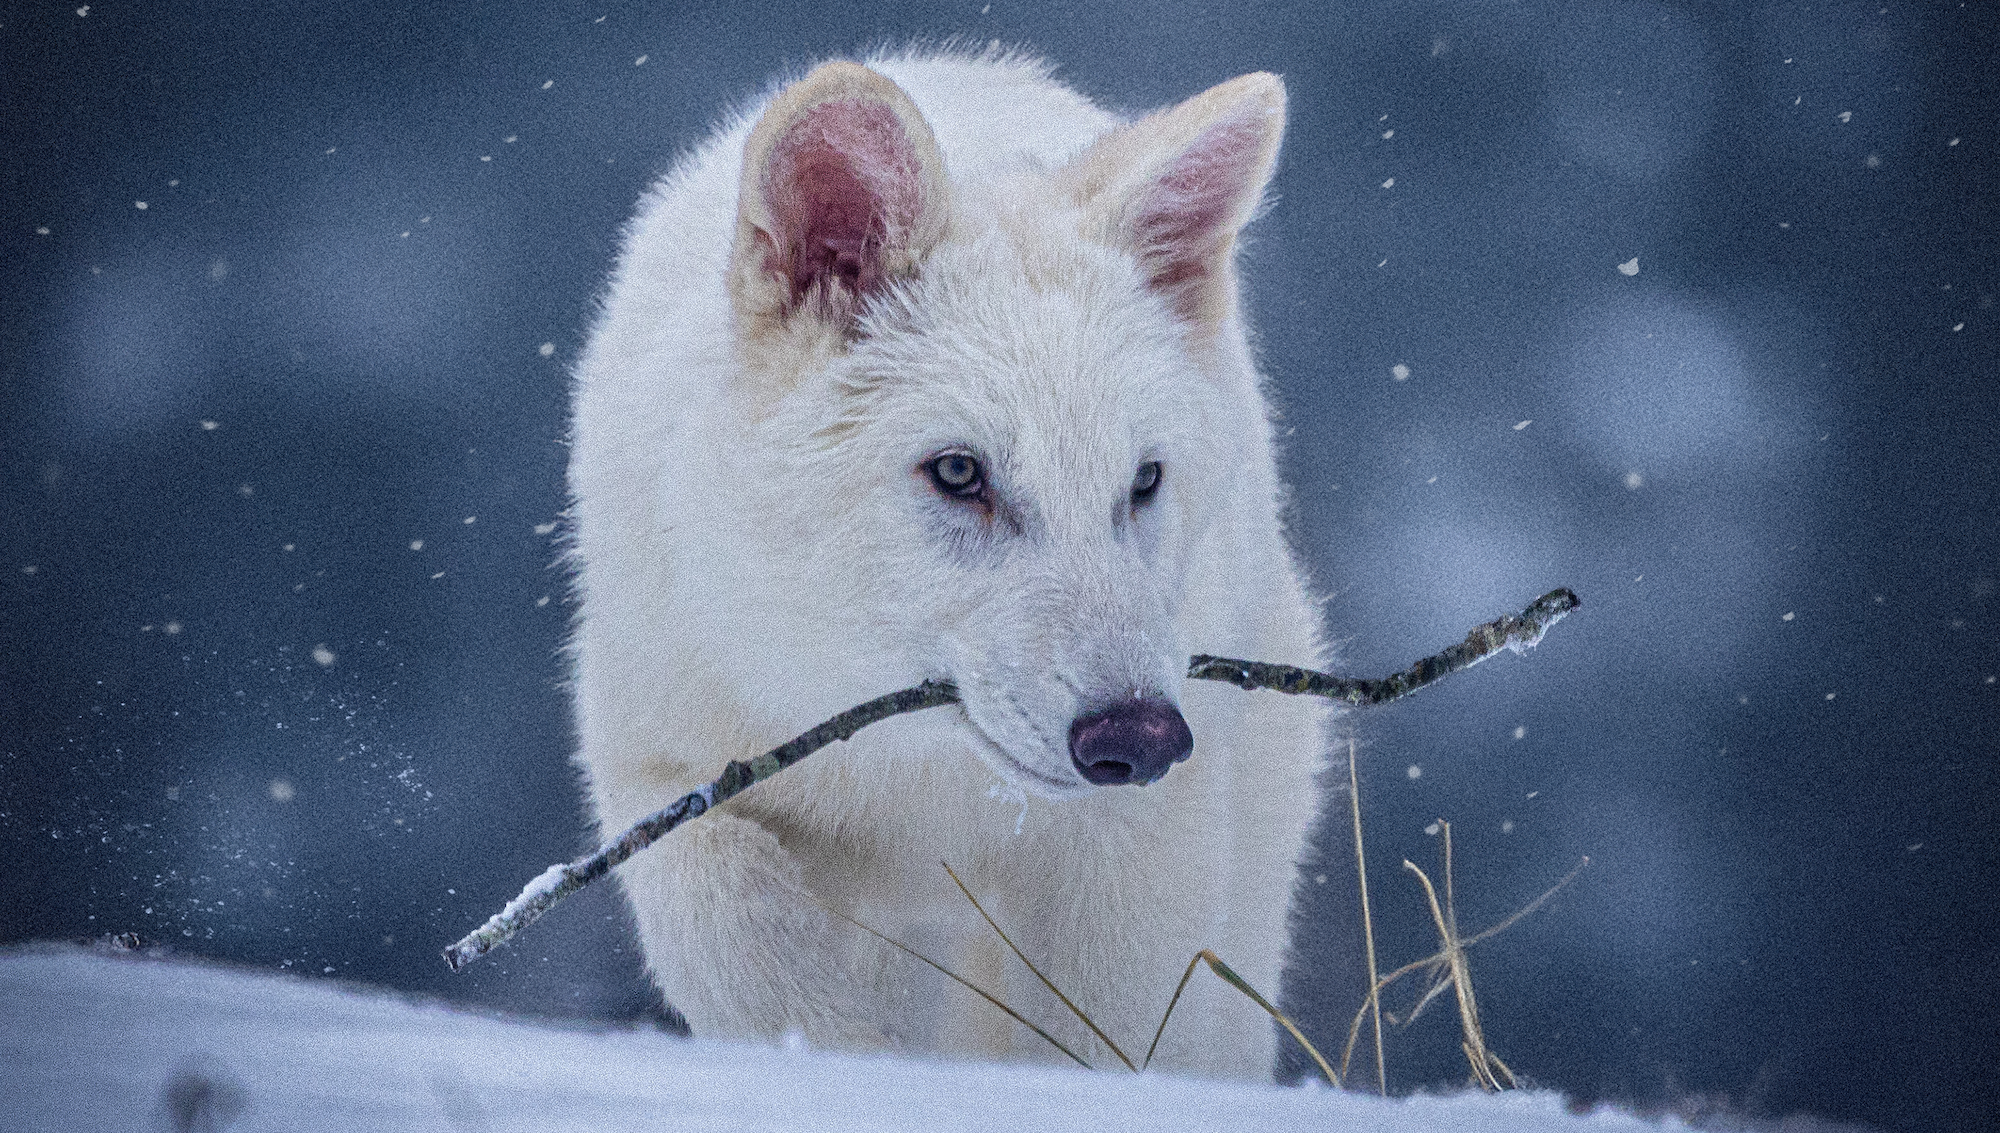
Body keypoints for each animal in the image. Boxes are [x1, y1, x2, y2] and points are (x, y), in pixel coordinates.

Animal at [566, 48, 1334, 1080]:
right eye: (960, 472)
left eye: (1142, 480)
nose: (1139, 737)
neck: (915, 772)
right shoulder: (662, 770)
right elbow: (741, 938)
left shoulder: (1132, 847)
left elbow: (1106, 1039)